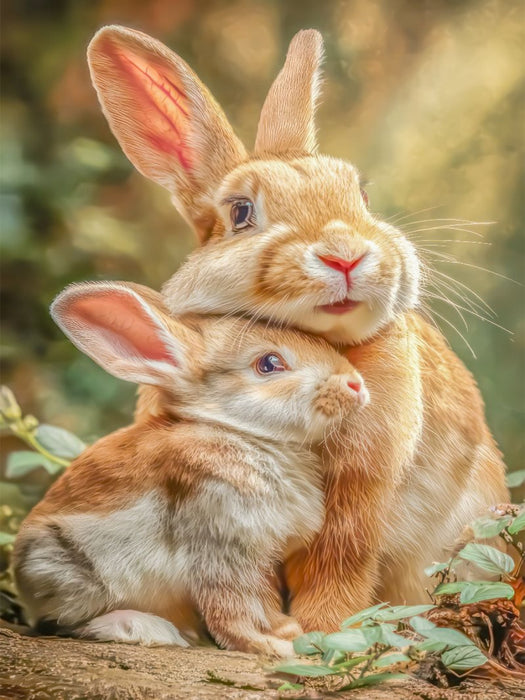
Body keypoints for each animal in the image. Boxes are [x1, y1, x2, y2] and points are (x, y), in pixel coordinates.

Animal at [13, 281, 369, 655]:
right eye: (269, 363)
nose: (355, 385)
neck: (239, 432)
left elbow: (263, 602)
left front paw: (287, 632)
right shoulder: (221, 544)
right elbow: (232, 610)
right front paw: (275, 647)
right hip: (73, 572)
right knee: (62, 623)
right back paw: (143, 628)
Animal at [86, 26, 509, 631]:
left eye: (361, 195)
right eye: (240, 212)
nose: (345, 254)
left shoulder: (362, 486)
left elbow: (342, 554)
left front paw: (322, 630)